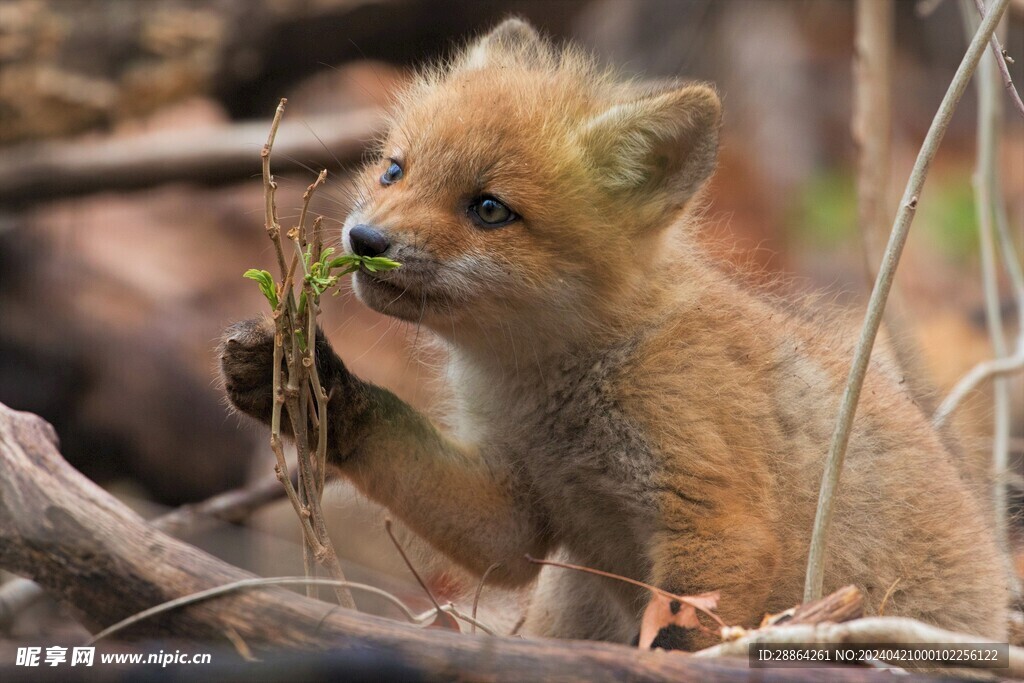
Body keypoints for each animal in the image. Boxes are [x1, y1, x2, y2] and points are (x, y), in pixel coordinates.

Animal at [222, 17, 1007, 647]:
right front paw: (299, 377)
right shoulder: (519, 512)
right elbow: (405, 446)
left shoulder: (719, 521)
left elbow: (685, 639)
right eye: (393, 170)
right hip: (569, 587)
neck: (553, 393)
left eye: (488, 209)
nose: (365, 239)